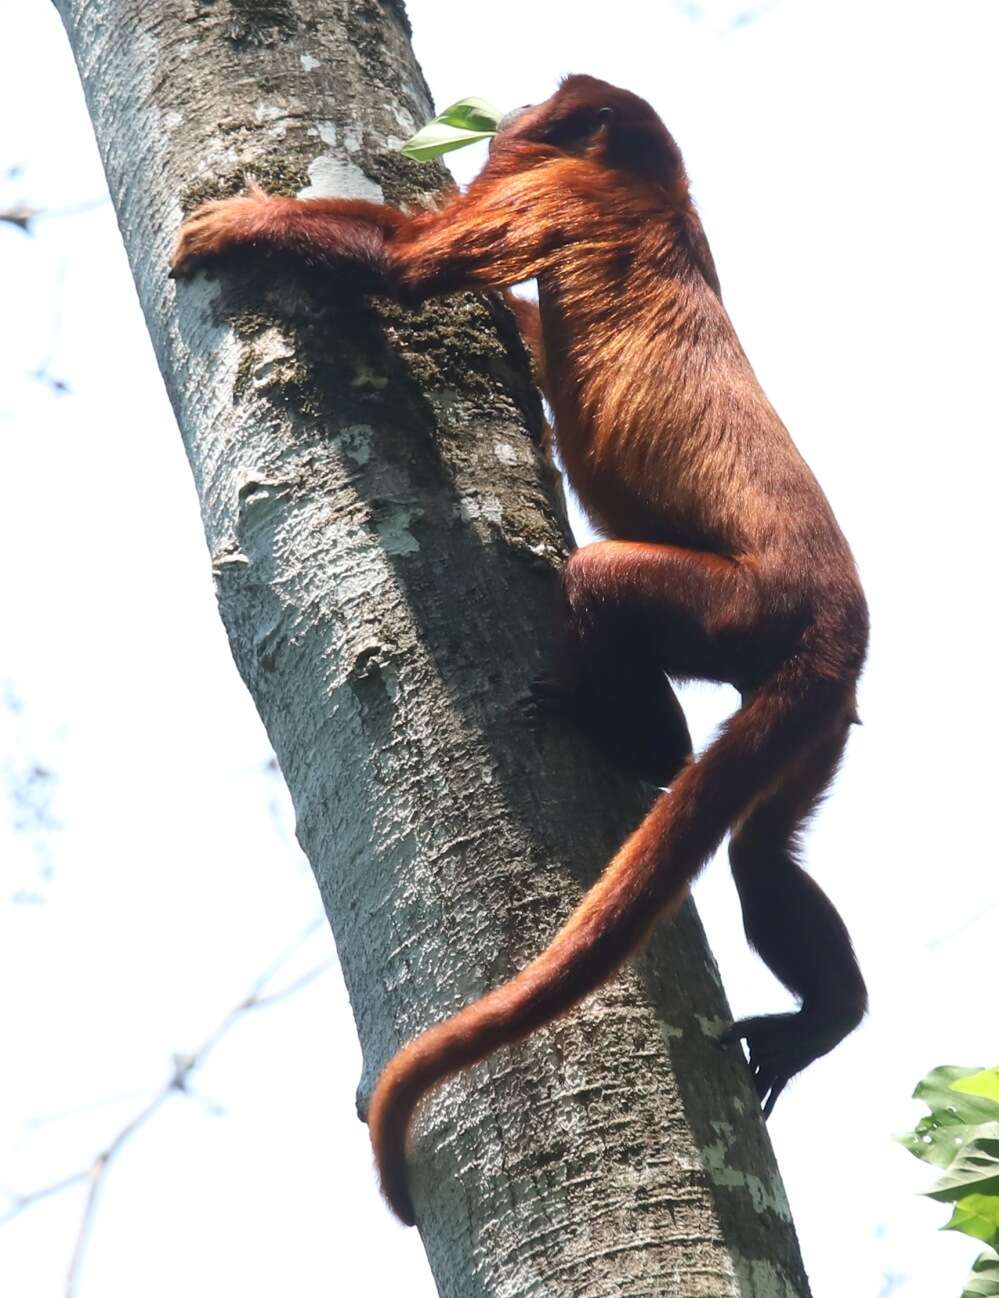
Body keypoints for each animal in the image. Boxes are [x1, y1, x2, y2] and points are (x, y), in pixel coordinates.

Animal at [171, 73, 861, 1225]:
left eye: (552, 100)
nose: (516, 102)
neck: (655, 181)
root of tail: (839, 623)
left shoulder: (557, 190)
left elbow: (412, 265)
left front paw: (243, 225)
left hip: (741, 615)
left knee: (605, 593)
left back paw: (634, 738)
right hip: (816, 719)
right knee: (764, 855)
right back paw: (832, 1013)